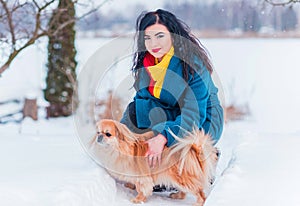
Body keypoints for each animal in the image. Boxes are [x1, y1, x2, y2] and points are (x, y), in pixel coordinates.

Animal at [89, 118, 218, 205]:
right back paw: (177, 195)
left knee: (200, 193)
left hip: (183, 179)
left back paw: (198, 203)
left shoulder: (142, 178)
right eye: (98, 132)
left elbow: (142, 189)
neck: (118, 149)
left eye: (108, 134)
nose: (99, 137)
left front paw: (138, 200)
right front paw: (130, 186)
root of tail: (193, 150)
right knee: (185, 192)